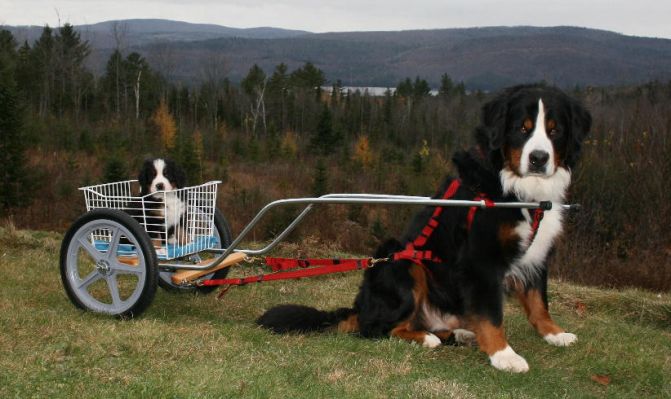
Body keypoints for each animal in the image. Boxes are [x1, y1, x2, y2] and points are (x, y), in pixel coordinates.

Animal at [258, 85, 592, 376]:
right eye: (521, 129)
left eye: (555, 131)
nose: (538, 158)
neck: (517, 189)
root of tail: (361, 306)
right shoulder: (481, 260)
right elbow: (491, 312)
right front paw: (504, 355)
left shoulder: (537, 254)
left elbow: (538, 302)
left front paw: (554, 334)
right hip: (402, 262)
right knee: (379, 328)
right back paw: (426, 338)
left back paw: (461, 333)